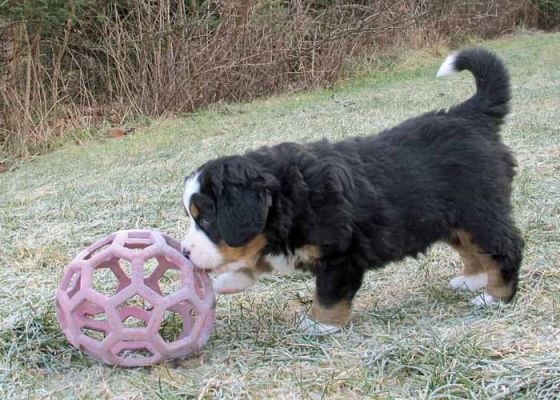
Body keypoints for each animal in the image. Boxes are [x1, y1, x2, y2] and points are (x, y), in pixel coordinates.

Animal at [180, 47, 524, 334]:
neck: (292, 196)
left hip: (480, 213)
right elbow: (259, 257)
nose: (183, 252)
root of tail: (469, 115)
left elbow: (329, 295)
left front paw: (319, 326)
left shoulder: (341, 255)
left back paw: (495, 297)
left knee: (506, 248)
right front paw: (227, 281)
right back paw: (472, 280)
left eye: (206, 219)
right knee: (473, 250)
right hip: (450, 219)